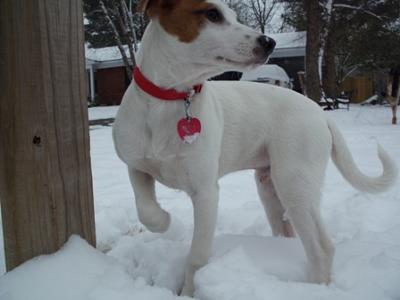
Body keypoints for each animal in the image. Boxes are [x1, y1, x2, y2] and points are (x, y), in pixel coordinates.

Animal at [111, 0, 396, 296]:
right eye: (212, 14)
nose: (269, 42)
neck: (171, 98)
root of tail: (320, 112)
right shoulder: (136, 166)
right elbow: (145, 207)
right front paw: (163, 221)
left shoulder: (206, 192)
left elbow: (197, 256)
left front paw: (189, 292)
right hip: (269, 187)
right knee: (288, 233)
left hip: (294, 183)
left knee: (322, 248)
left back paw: (313, 287)